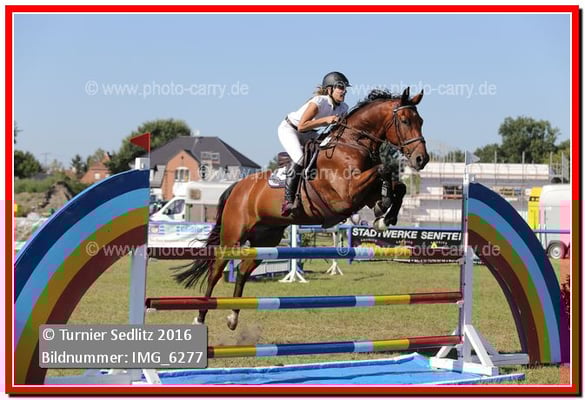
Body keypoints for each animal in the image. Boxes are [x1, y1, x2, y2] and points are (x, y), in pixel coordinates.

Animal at [175, 87, 429, 330]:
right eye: (405, 121)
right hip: (233, 236)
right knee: (215, 270)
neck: (352, 143)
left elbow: (398, 185)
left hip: (266, 238)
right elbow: (384, 169)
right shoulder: (347, 195)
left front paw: (384, 215)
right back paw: (200, 318)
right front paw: (383, 210)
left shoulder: (362, 195)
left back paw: (233, 317)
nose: (421, 159)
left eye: (421, 121)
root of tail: (237, 187)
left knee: (244, 269)